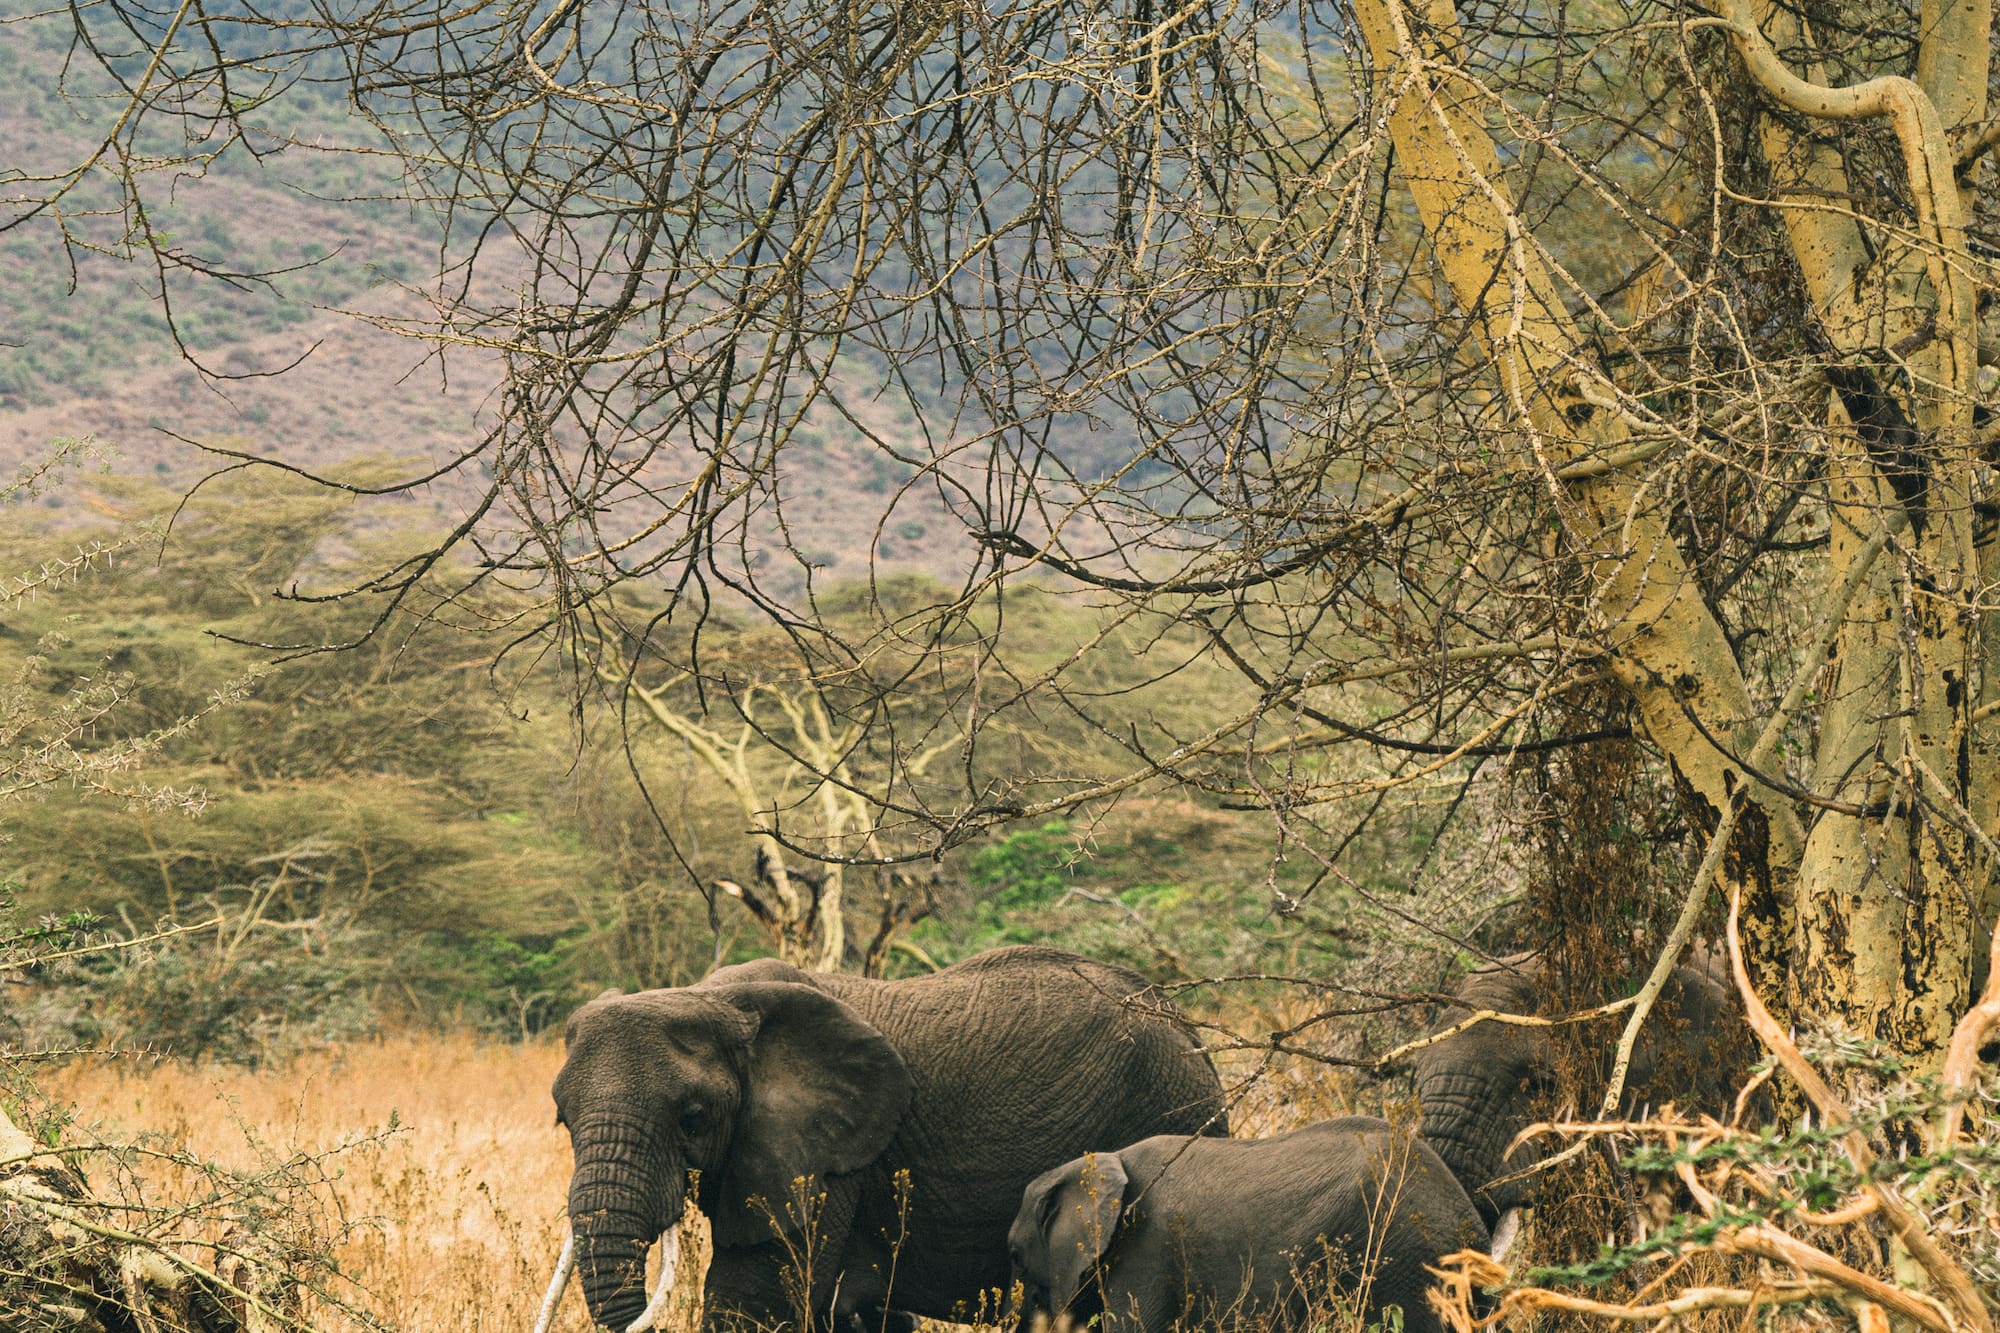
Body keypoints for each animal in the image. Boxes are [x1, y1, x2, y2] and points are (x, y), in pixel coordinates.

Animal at [540, 945, 1229, 1333]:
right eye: (563, 1122)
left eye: (693, 1116)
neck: (713, 997)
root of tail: (1185, 1024)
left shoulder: (826, 1163)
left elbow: (754, 1301)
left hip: (1169, 1108)